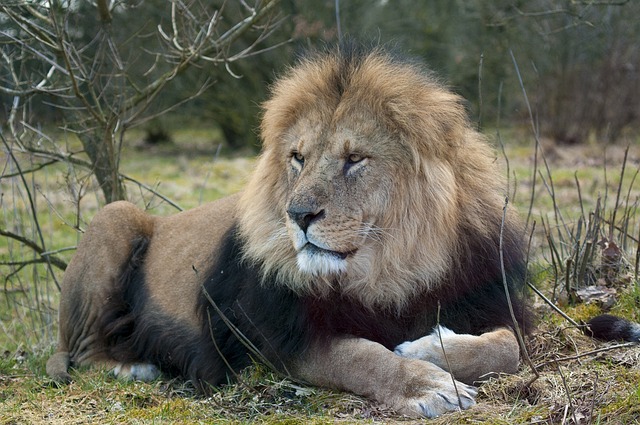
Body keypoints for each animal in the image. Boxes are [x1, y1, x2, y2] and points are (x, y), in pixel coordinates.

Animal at [47, 44, 532, 418]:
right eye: (298, 157)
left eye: (354, 158)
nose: (297, 214)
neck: (390, 270)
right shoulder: (275, 338)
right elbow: (361, 357)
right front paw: (426, 384)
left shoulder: (486, 297)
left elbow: (508, 347)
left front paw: (429, 346)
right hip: (115, 216)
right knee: (82, 352)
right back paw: (132, 367)